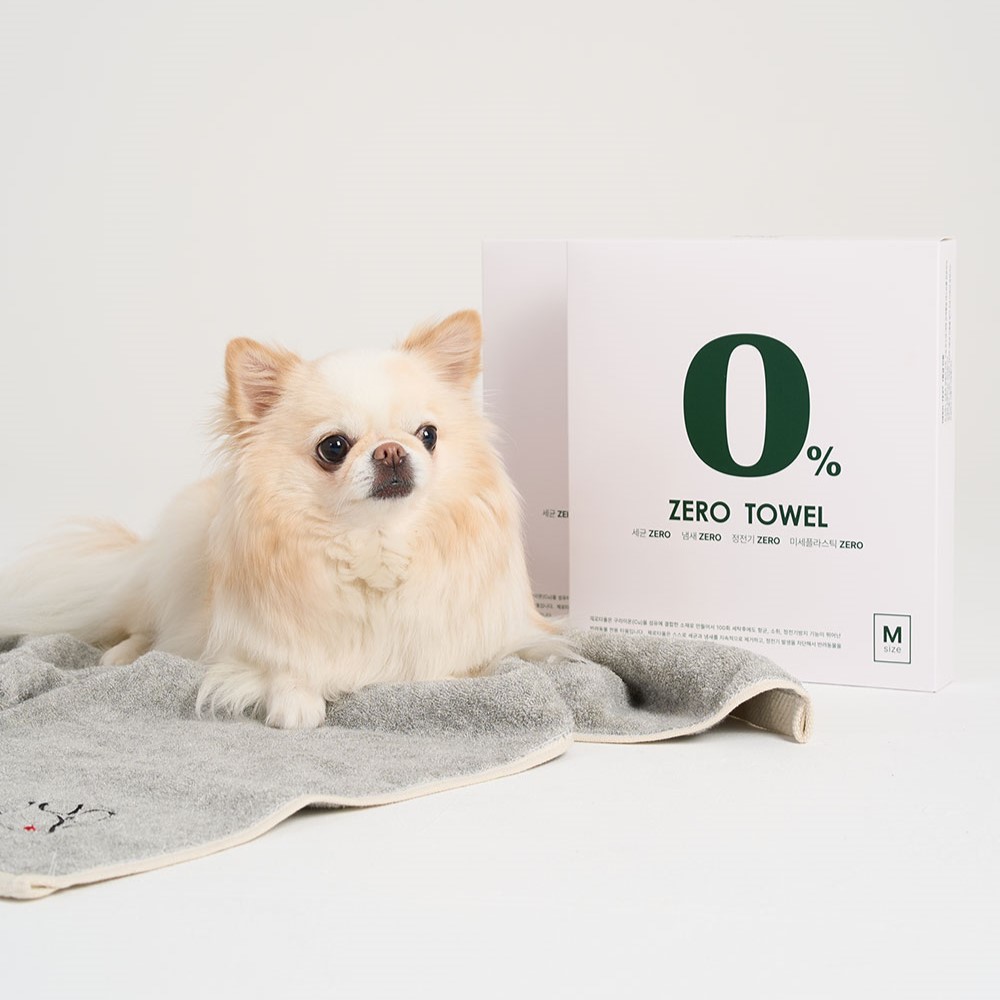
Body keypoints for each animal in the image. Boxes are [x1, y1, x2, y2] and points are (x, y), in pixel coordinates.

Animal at [0, 310, 561, 728]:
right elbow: (284, 664)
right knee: (150, 626)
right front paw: (295, 699)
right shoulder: (247, 646)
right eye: (334, 447)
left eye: (428, 435)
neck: (374, 543)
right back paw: (120, 655)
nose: (391, 451)